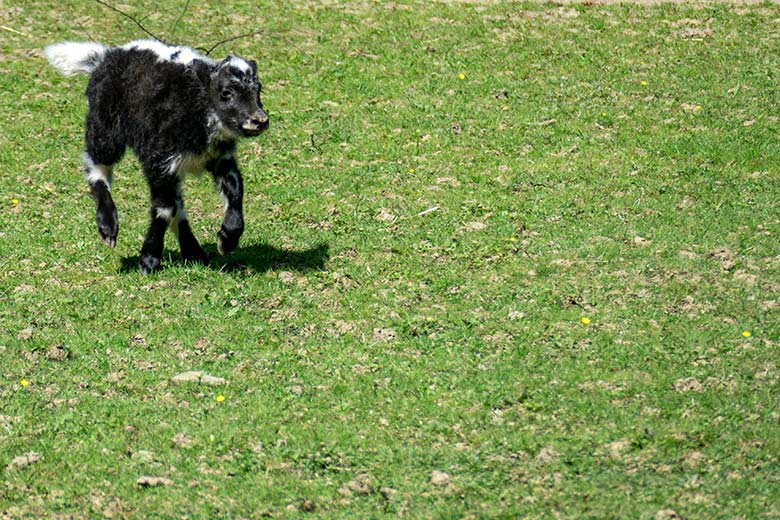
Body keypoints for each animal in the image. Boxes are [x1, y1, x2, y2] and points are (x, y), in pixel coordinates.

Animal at [45, 39, 268, 272]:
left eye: (258, 89)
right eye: (226, 92)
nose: (259, 120)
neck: (196, 104)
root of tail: (106, 55)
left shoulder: (219, 160)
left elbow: (235, 191)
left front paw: (227, 240)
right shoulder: (159, 162)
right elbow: (164, 209)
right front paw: (149, 259)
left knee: (177, 201)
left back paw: (194, 252)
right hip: (105, 125)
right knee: (97, 163)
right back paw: (108, 228)